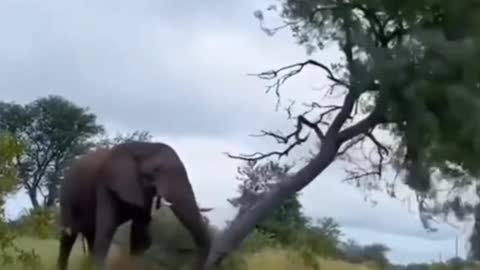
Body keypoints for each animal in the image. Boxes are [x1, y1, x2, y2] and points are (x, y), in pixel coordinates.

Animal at [57, 141, 211, 270]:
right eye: (155, 170)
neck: (142, 147)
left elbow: (140, 235)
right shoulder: (106, 184)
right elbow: (107, 227)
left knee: (90, 236)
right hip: (67, 195)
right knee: (69, 236)